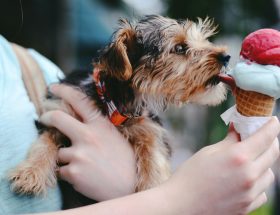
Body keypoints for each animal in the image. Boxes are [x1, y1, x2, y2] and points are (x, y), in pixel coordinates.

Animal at [7, 14, 230, 197]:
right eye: (180, 48)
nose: (226, 56)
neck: (113, 102)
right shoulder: (60, 111)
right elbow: (44, 142)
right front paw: (30, 172)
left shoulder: (149, 128)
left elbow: (154, 155)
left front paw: (152, 186)